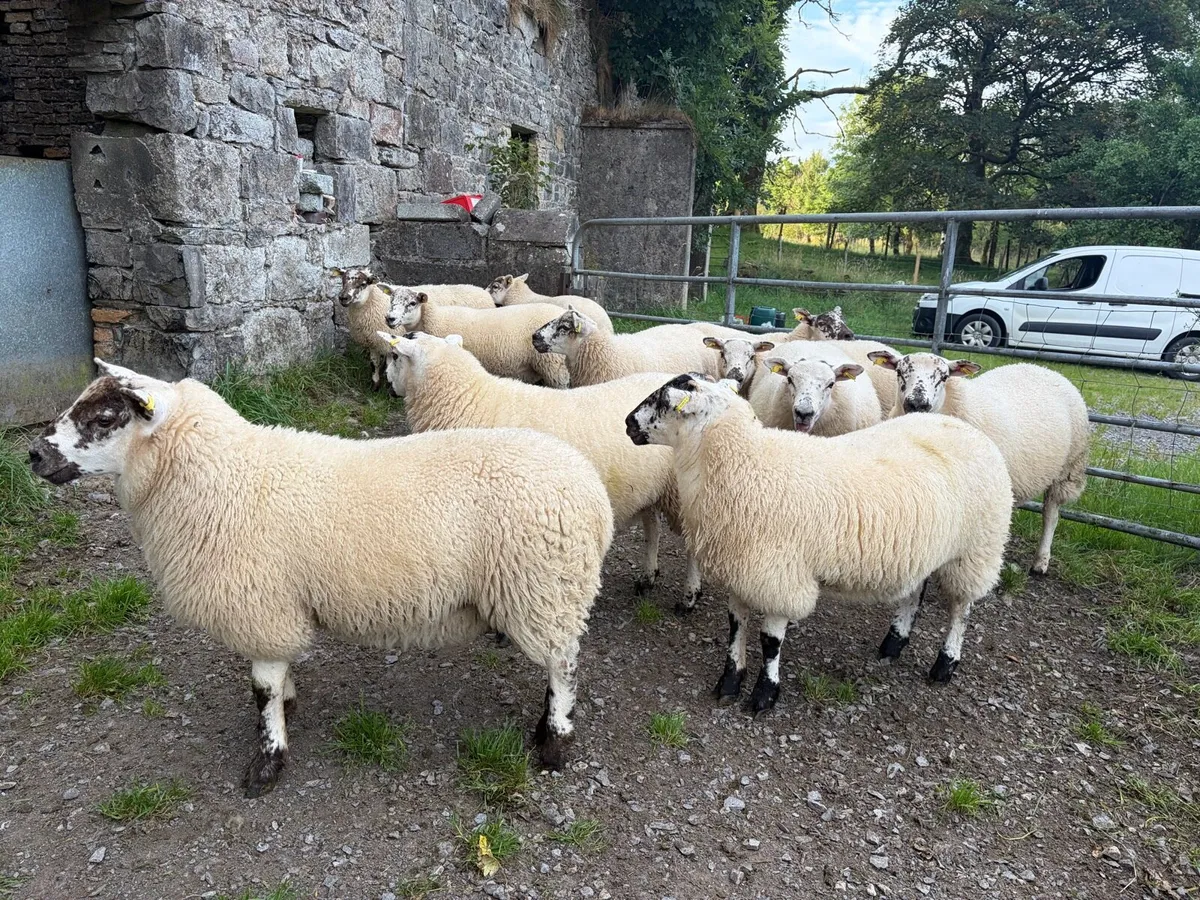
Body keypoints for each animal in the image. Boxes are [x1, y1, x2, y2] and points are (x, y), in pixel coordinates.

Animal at [28, 360, 614, 796]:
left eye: (106, 417)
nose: (33, 454)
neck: (215, 476)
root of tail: (591, 489)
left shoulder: (259, 605)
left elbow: (261, 689)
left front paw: (267, 761)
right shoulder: (272, 609)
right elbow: (275, 681)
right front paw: (287, 704)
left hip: (544, 590)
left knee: (563, 666)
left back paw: (554, 743)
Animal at [380, 330, 704, 611]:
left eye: (395, 356)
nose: (387, 383)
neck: (469, 400)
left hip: (682, 490)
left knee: (693, 545)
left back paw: (689, 596)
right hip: (651, 487)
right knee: (652, 528)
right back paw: (647, 577)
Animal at [624, 375, 1012, 709]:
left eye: (663, 400)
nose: (627, 423)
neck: (745, 462)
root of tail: (969, 431)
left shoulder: (778, 576)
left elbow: (770, 641)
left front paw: (764, 695)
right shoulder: (741, 566)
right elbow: (735, 626)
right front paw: (730, 681)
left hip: (976, 548)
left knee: (960, 609)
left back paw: (945, 664)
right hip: (925, 547)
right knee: (915, 591)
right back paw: (893, 644)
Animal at [868, 352, 1089, 575]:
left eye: (944, 377)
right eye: (899, 372)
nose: (917, 404)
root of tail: (1043, 368)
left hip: (1067, 469)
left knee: (1050, 515)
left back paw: (1040, 561)